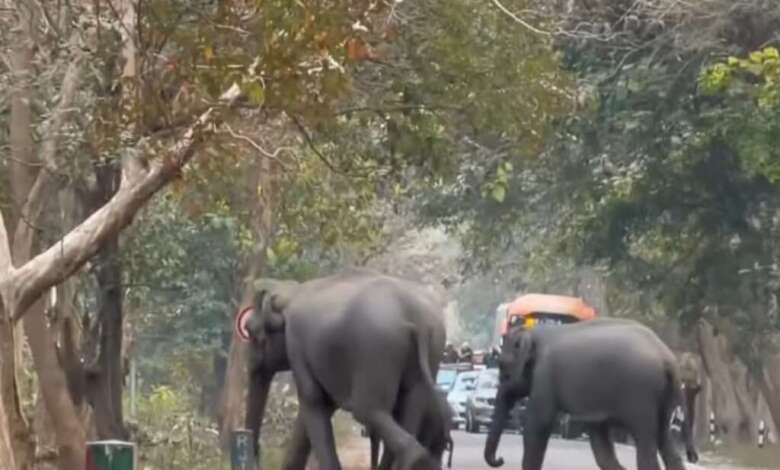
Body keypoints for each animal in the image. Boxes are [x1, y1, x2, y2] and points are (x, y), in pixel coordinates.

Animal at [244, 268, 451, 470]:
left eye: (251, 332)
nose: (257, 451)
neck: (290, 293)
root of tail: (415, 315)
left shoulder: (296, 346)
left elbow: (313, 400)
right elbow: (318, 407)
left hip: (378, 350)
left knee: (367, 410)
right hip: (430, 352)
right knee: (408, 412)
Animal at [484, 318, 698, 470]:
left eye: (502, 366)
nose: (500, 460)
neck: (536, 331)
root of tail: (668, 358)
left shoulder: (545, 376)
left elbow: (538, 425)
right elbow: (601, 445)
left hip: (642, 395)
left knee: (646, 444)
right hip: (664, 399)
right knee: (666, 443)